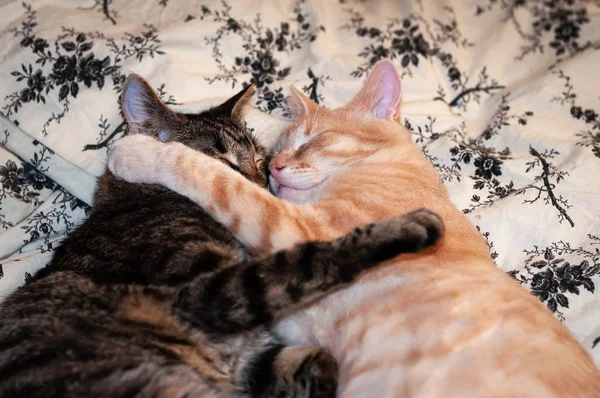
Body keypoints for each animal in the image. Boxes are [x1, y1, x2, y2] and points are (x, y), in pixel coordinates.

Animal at [0, 73, 440, 396]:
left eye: (260, 160)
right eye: (224, 160)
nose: (265, 183)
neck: (143, 200)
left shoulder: (253, 358)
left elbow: (316, 362)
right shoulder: (208, 293)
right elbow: (311, 259)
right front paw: (410, 225)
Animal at [109, 60, 600, 396]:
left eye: (311, 140)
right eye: (276, 150)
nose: (274, 170)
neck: (392, 169)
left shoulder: (304, 230)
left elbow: (213, 178)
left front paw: (136, 152)